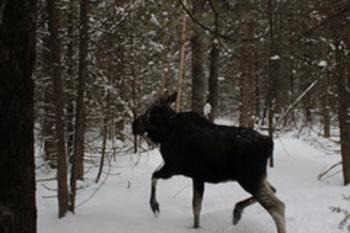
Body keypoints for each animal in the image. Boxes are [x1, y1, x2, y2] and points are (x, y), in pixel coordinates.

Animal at [133, 93, 286, 233]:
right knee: (273, 190)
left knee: (277, 206)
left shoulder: (173, 167)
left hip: (249, 178)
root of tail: (268, 143)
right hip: (257, 177)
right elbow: (196, 206)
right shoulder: (197, 177)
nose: (134, 124)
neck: (166, 132)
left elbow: (153, 176)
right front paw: (196, 227)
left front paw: (154, 205)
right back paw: (237, 211)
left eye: (149, 113)